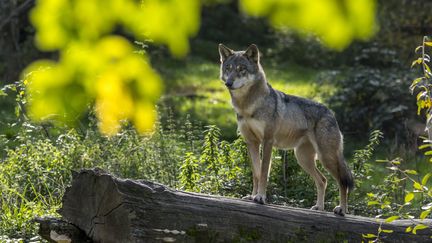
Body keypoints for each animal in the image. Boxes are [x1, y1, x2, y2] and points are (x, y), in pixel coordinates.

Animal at [218, 43, 352, 216]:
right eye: (228, 68)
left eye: (241, 69)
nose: (228, 83)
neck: (248, 105)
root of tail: (331, 113)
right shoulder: (251, 143)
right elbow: (256, 173)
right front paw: (252, 196)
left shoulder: (267, 141)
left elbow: (264, 173)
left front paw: (260, 197)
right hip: (303, 158)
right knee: (323, 180)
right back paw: (319, 208)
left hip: (326, 158)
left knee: (342, 181)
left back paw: (342, 209)